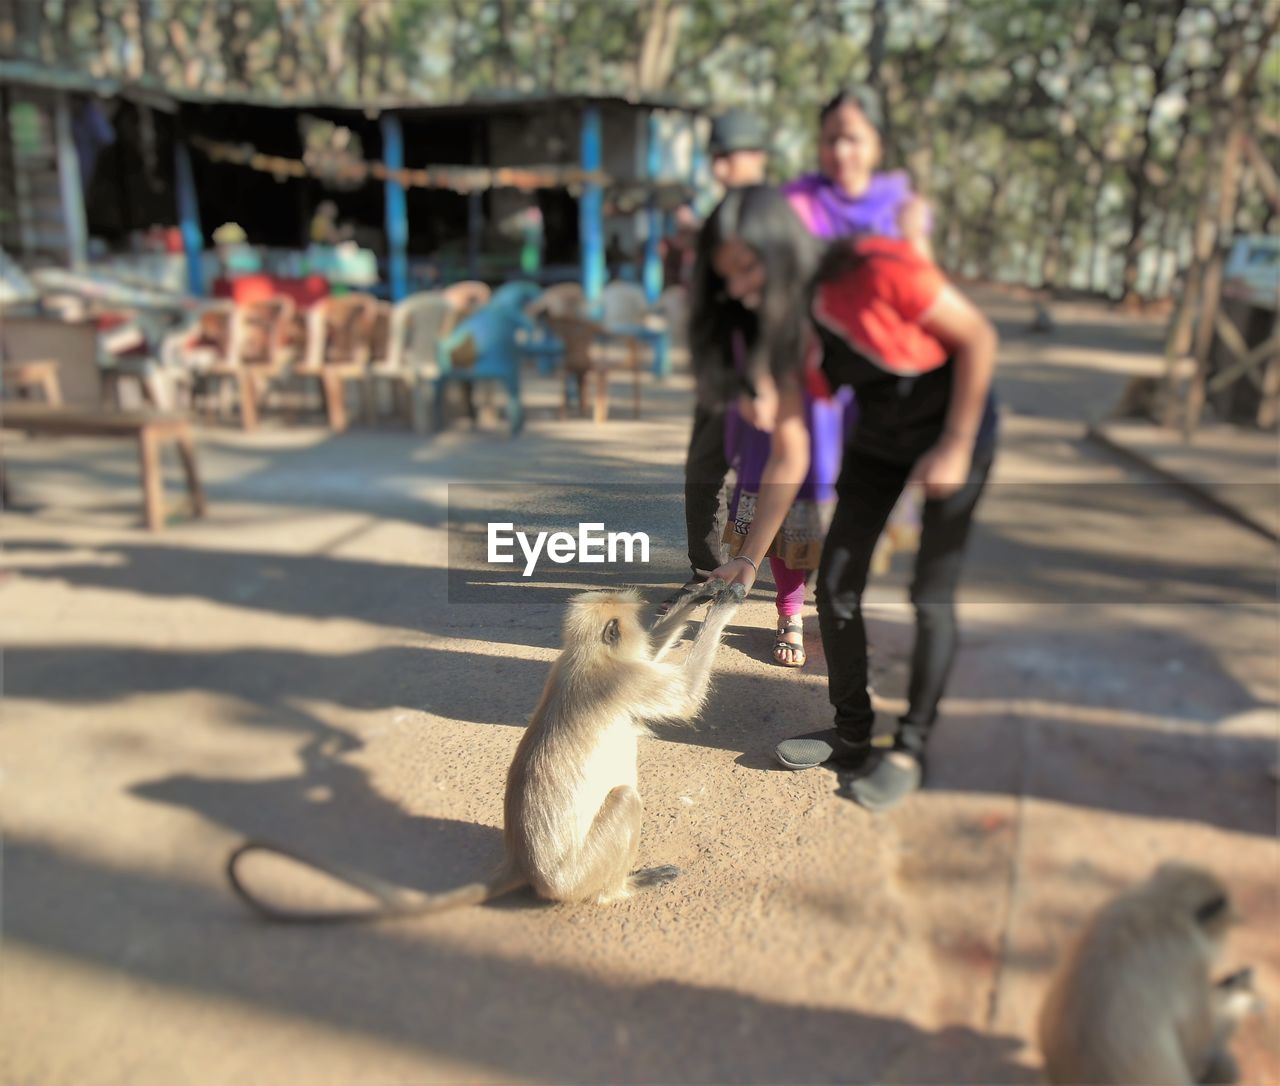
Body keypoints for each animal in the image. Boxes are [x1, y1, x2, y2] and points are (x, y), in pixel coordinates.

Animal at [226, 581, 747, 922]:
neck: (584, 657)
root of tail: (522, 860)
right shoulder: (623, 679)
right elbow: (685, 694)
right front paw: (723, 604)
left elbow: (654, 651)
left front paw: (698, 597)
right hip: (577, 874)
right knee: (623, 800)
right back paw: (620, 890)